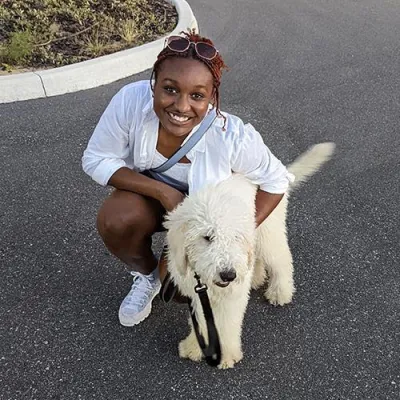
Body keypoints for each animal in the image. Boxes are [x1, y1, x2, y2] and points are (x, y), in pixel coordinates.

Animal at [162, 141, 334, 368]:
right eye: (207, 237)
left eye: (235, 236)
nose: (228, 275)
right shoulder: (197, 290)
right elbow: (201, 319)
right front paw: (195, 347)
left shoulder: (232, 294)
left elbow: (228, 321)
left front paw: (225, 354)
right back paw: (257, 277)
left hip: (268, 233)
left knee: (282, 260)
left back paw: (280, 291)